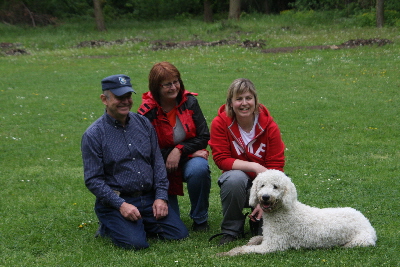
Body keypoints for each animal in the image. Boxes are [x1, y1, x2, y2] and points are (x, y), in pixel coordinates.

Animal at [220, 171, 376, 256]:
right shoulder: (269, 238)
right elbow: (257, 239)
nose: (265, 197)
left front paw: (227, 253)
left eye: (275, 186)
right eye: (262, 185)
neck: (282, 212)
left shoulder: (273, 245)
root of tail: (366, 220)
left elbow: (244, 249)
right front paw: (253, 239)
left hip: (360, 241)